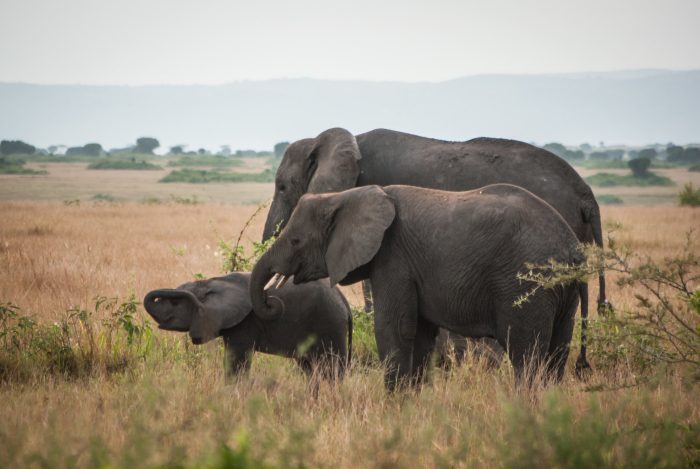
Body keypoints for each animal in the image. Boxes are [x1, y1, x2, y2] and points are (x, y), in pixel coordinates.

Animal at [144, 272, 352, 380]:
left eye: (175, 303)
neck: (213, 281)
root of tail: (344, 303)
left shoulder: (246, 322)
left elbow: (236, 361)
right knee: (309, 368)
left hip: (331, 324)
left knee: (332, 369)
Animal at [251, 184, 584, 390]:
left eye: (296, 241)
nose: (271, 301)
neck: (346, 195)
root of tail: (574, 248)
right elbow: (420, 335)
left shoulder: (393, 257)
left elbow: (394, 327)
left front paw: (392, 410)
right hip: (561, 292)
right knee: (557, 352)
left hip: (526, 285)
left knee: (526, 354)